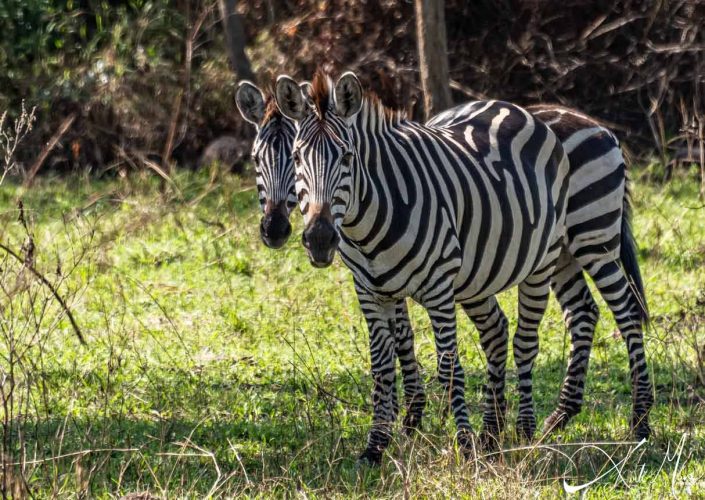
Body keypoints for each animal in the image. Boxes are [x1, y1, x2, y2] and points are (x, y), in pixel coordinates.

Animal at [276, 70, 572, 464]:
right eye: (295, 157)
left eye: (348, 157)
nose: (320, 238)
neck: (366, 227)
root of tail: (512, 108)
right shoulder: (369, 291)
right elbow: (382, 367)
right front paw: (375, 446)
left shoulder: (438, 288)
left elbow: (449, 368)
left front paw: (463, 445)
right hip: (475, 277)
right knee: (495, 332)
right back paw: (491, 435)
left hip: (542, 261)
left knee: (525, 342)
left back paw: (523, 431)